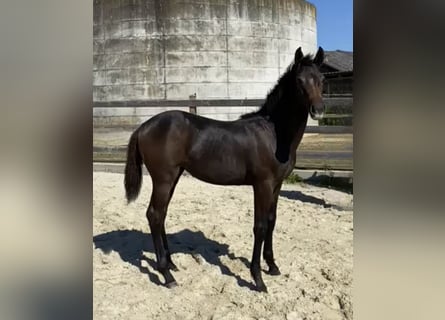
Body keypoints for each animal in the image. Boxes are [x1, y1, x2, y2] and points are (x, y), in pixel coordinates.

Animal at [123, 47, 324, 292]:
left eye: (322, 79)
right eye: (299, 80)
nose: (318, 110)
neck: (274, 134)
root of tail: (143, 126)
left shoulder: (277, 185)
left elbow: (272, 221)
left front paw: (272, 266)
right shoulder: (262, 185)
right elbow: (260, 226)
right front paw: (258, 279)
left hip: (173, 177)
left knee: (161, 214)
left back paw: (170, 264)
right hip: (163, 179)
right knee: (154, 214)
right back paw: (166, 275)